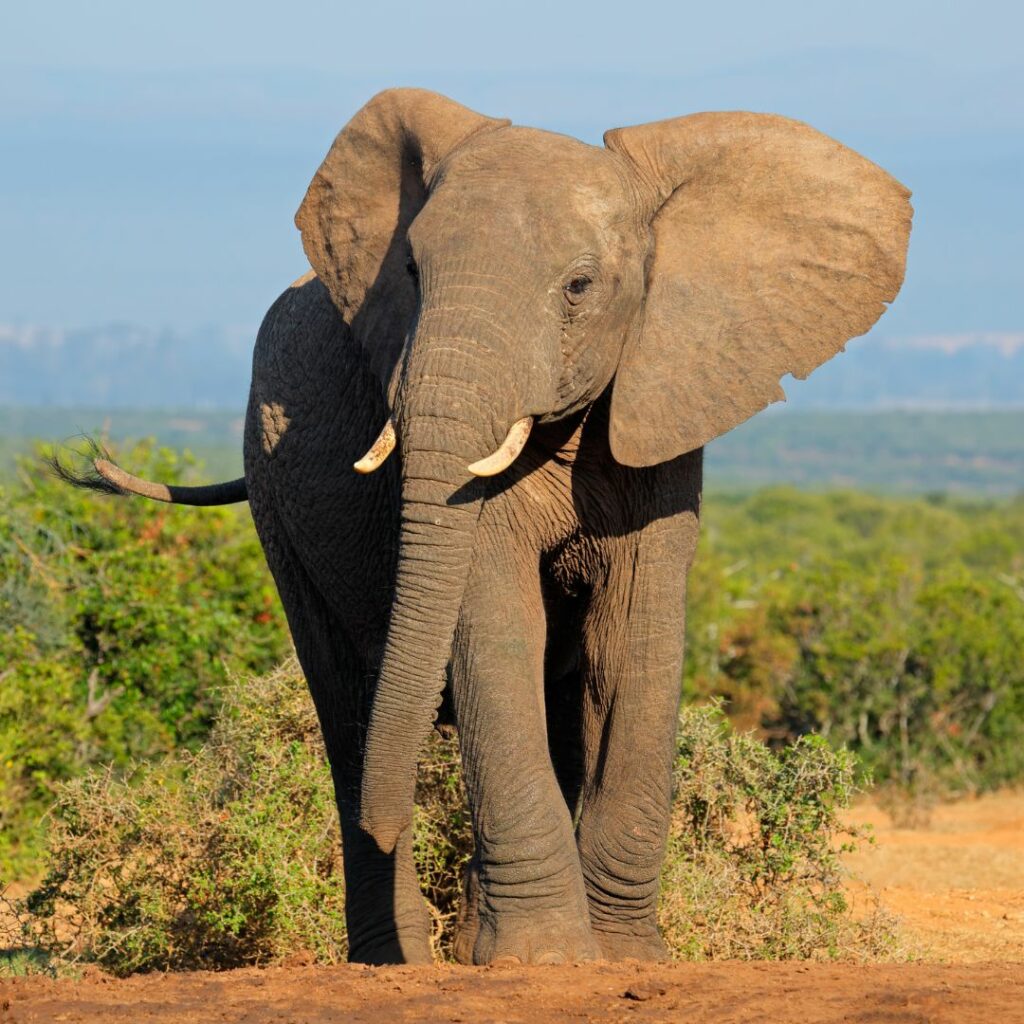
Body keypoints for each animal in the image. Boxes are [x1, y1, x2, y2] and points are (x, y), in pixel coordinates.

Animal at [60, 88, 911, 966]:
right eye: (410, 272)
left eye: (579, 286)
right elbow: (497, 625)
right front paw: (543, 960)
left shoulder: (664, 402)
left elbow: (631, 638)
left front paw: (622, 958)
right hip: (272, 489)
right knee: (345, 704)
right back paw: (395, 955)